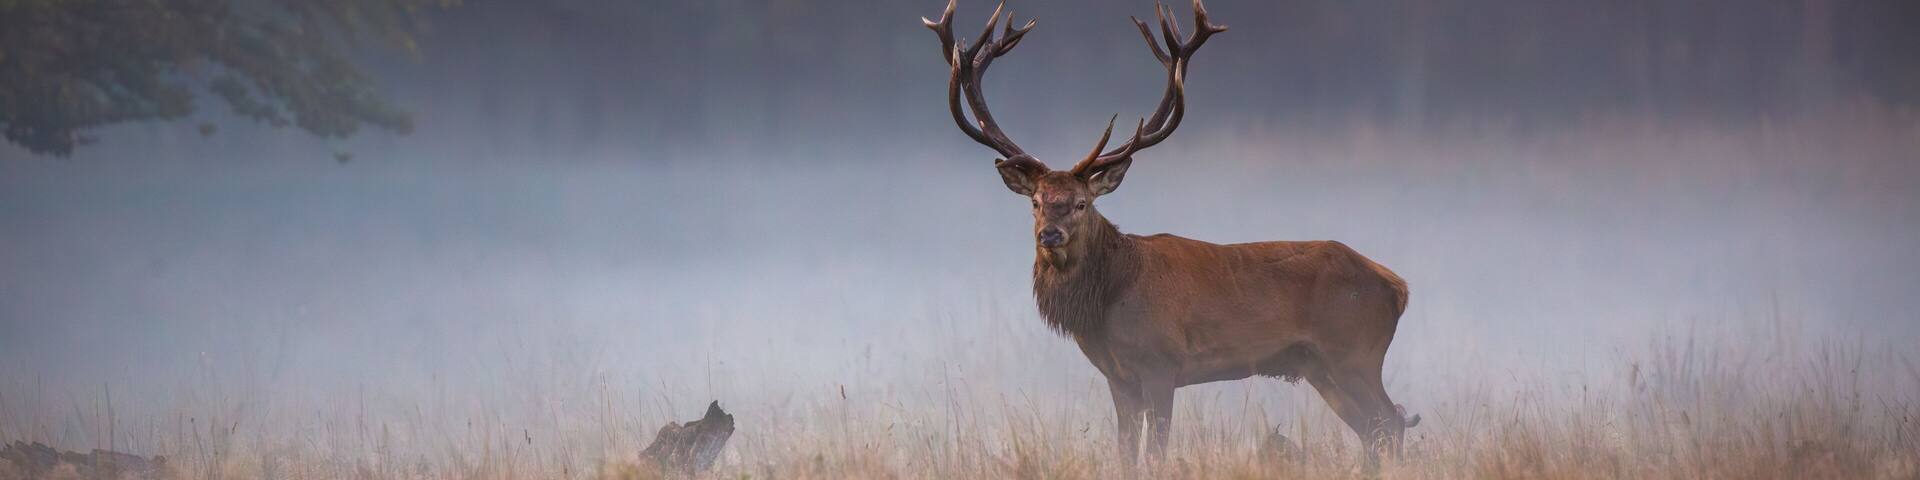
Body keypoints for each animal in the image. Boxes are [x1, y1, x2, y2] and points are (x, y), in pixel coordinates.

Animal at [924, 0, 1420, 467]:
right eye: (1036, 201)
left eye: (1083, 203)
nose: (1050, 235)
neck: (1108, 301)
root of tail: (1396, 286)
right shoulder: (1118, 377)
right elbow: (1125, 452)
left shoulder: (1162, 365)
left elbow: (1156, 450)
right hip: (1319, 366)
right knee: (1374, 429)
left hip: (1355, 352)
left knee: (1391, 422)